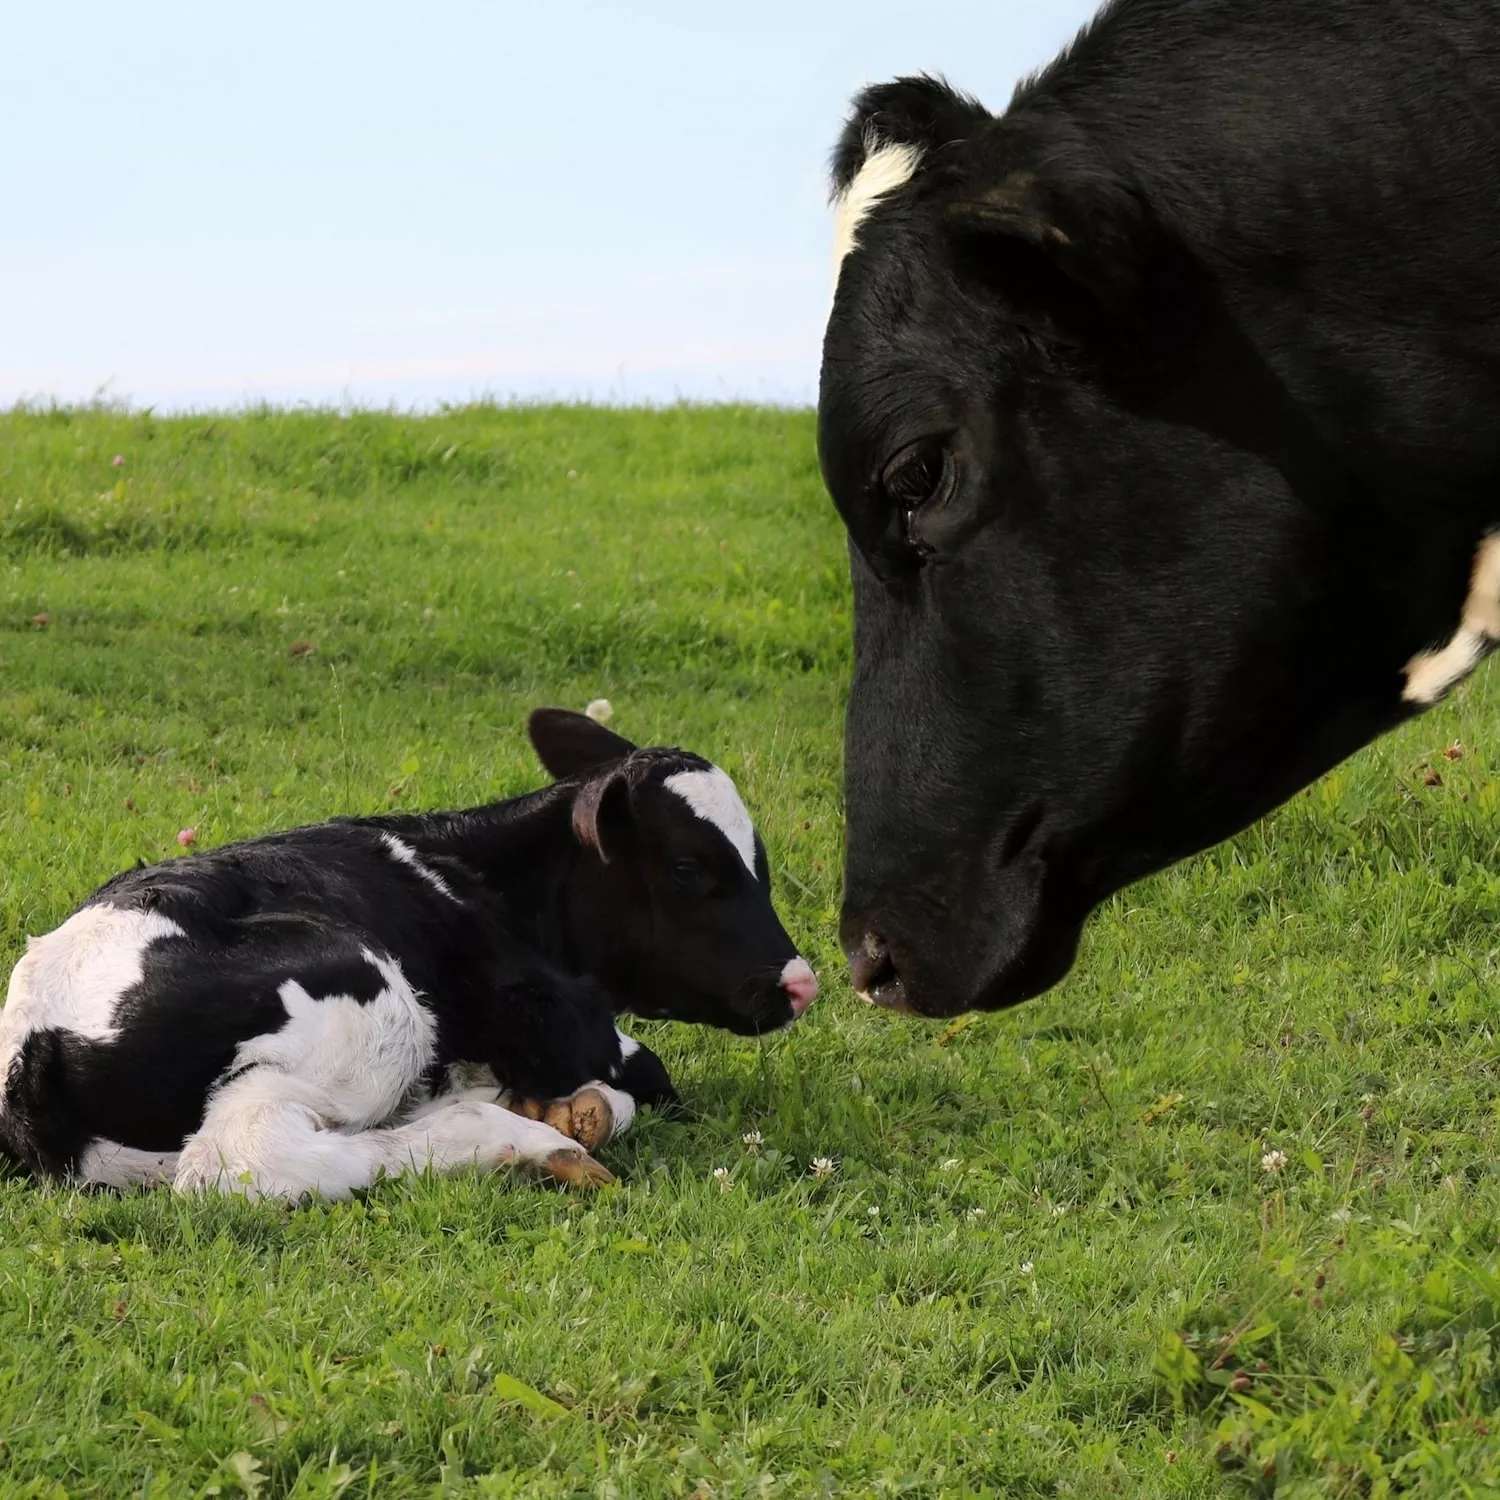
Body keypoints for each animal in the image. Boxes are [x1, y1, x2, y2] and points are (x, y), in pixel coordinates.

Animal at [0, 708, 822, 1200]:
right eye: (688, 870)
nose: (801, 984)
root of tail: (35, 1038)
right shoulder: (562, 1020)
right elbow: (645, 1076)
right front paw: (569, 1109)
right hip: (368, 1007)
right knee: (244, 1159)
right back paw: (522, 1137)